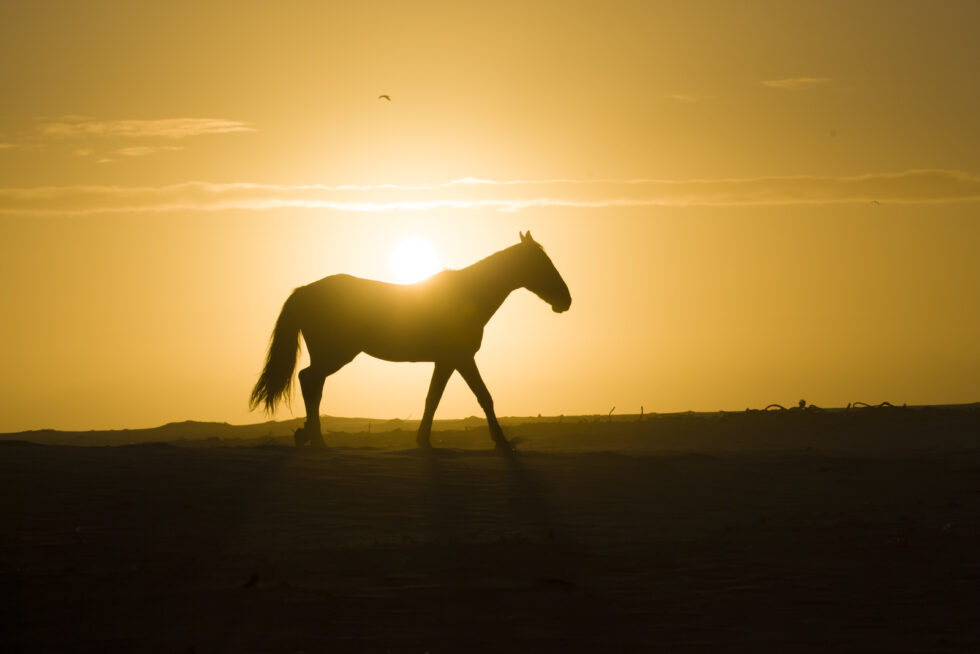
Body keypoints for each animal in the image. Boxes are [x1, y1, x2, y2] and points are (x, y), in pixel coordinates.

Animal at [249, 231, 571, 450]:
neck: (467, 295)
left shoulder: (446, 361)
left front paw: (423, 440)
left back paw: (308, 434)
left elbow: (433, 399)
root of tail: (305, 290)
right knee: (309, 380)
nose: (566, 301)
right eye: (541, 263)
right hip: (336, 355)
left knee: (312, 383)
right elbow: (484, 396)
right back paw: (315, 438)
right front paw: (502, 442)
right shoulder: (462, 358)